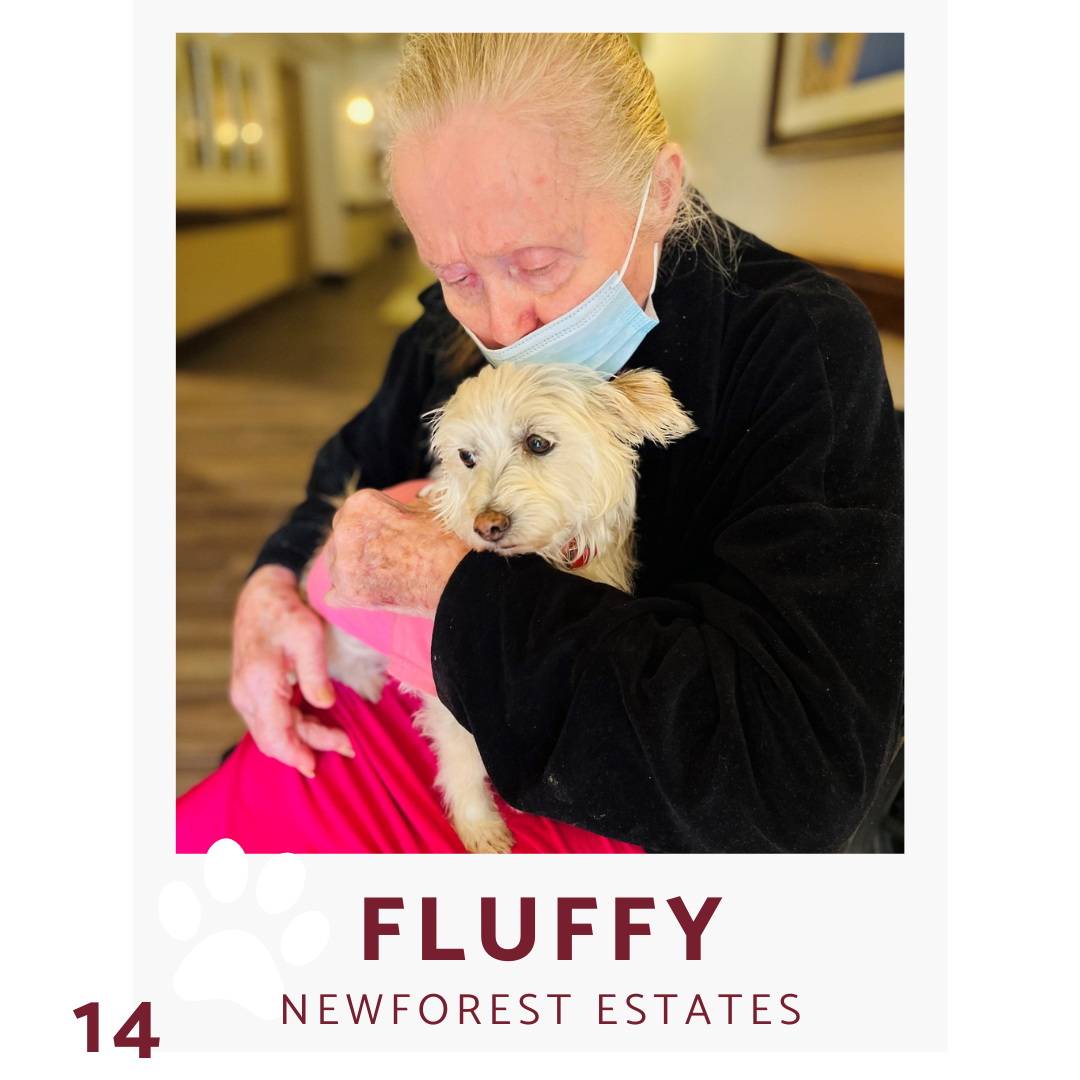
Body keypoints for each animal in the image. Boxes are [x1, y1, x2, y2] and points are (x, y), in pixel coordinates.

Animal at [313, 362, 691, 851]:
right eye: (467, 457)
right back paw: (368, 683)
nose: (486, 526)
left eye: (537, 443)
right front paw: (479, 827)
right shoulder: (443, 695)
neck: (545, 558)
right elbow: (463, 763)